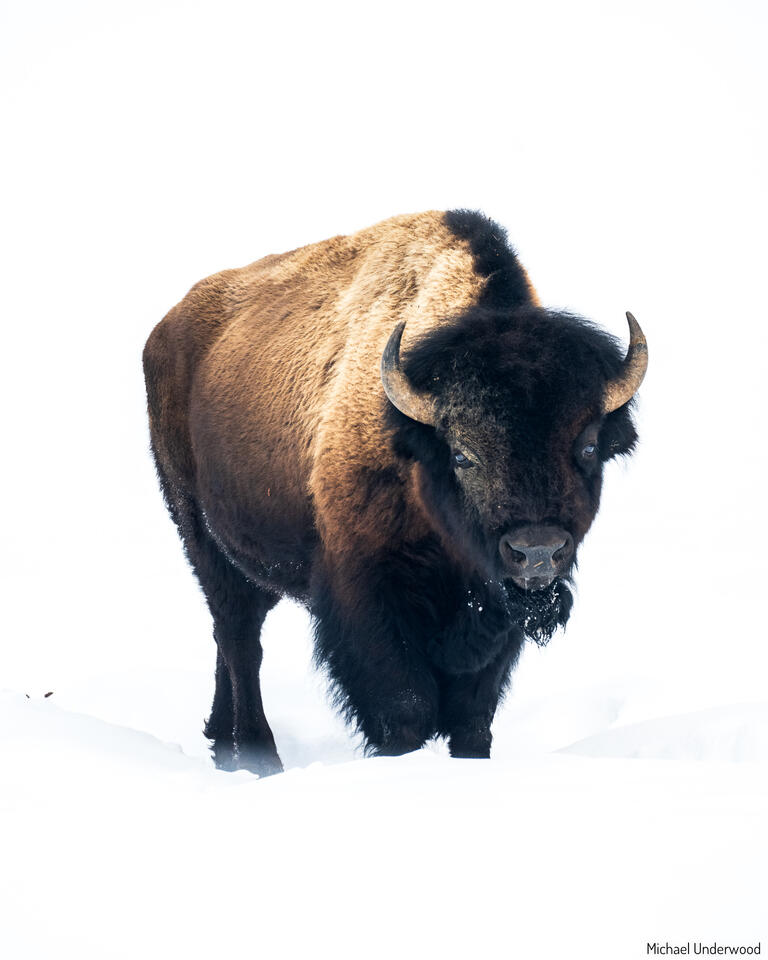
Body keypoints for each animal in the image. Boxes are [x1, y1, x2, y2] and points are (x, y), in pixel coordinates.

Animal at [143, 210, 647, 776]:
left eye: (588, 446)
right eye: (462, 454)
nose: (536, 552)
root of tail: (164, 328)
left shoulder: (497, 617)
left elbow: (474, 716)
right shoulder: (367, 598)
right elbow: (404, 708)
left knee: (230, 635)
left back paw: (220, 742)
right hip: (197, 530)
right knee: (239, 635)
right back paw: (257, 757)